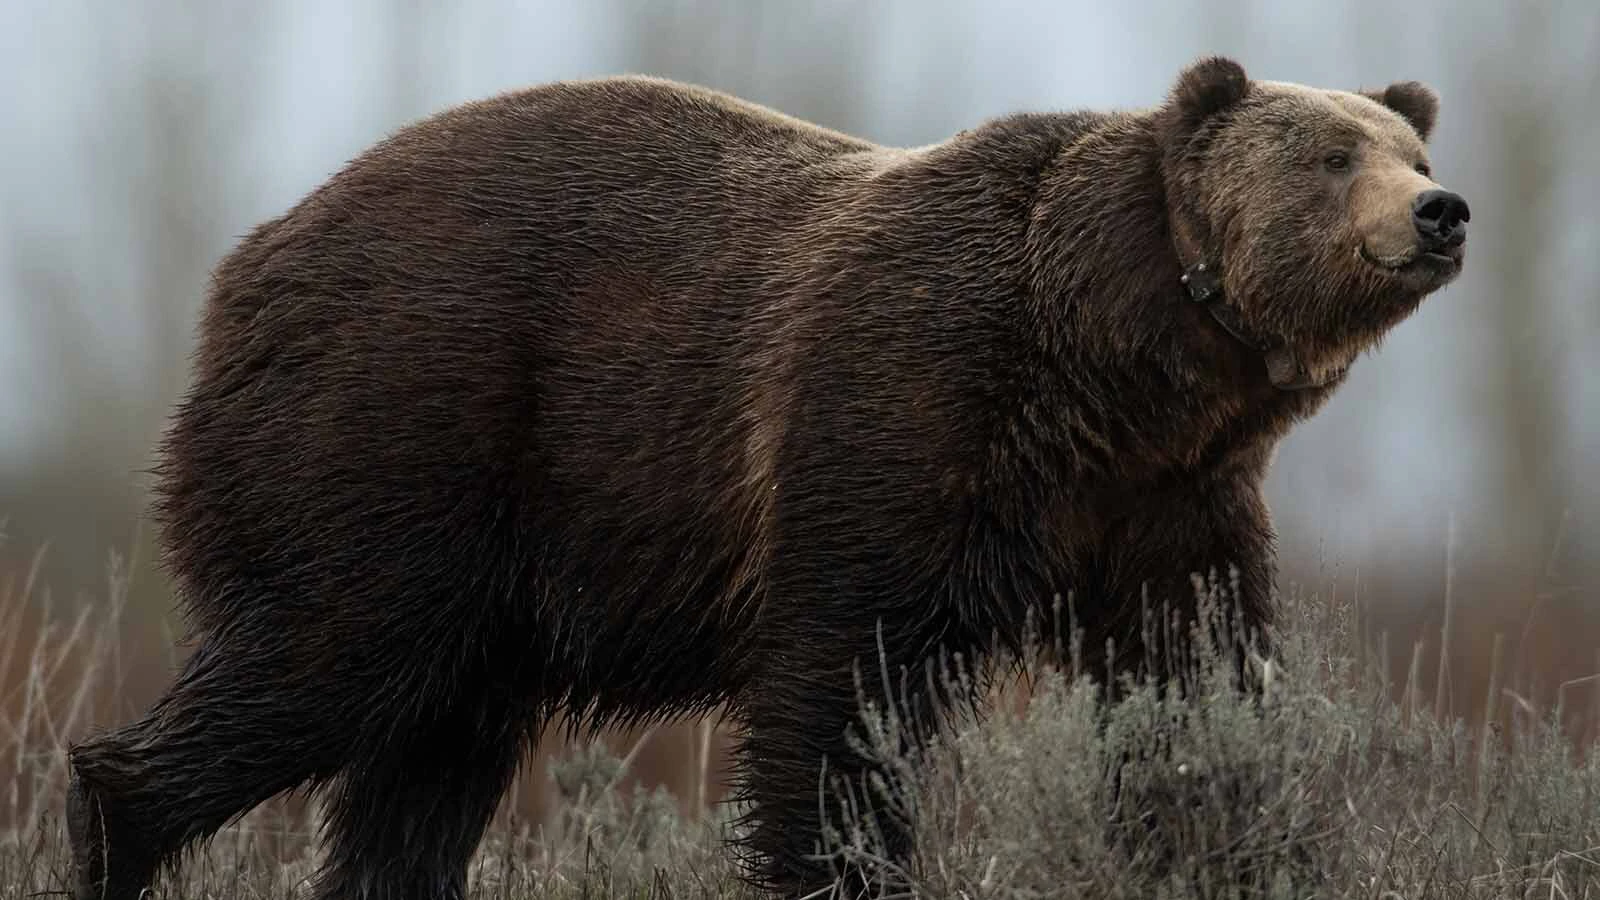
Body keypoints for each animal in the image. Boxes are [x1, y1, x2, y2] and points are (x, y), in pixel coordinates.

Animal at [66, 55, 1467, 899]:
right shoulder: (904, 419)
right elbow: (837, 695)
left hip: (483, 574)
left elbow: (1197, 691)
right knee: (319, 661)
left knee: (423, 764)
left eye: (1402, 143)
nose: (1439, 210)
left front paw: (1224, 836)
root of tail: (245, 263)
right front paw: (837, 863)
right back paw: (112, 818)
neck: (1113, 367)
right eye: (1330, 156)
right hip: (403, 430)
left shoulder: (1160, 507)